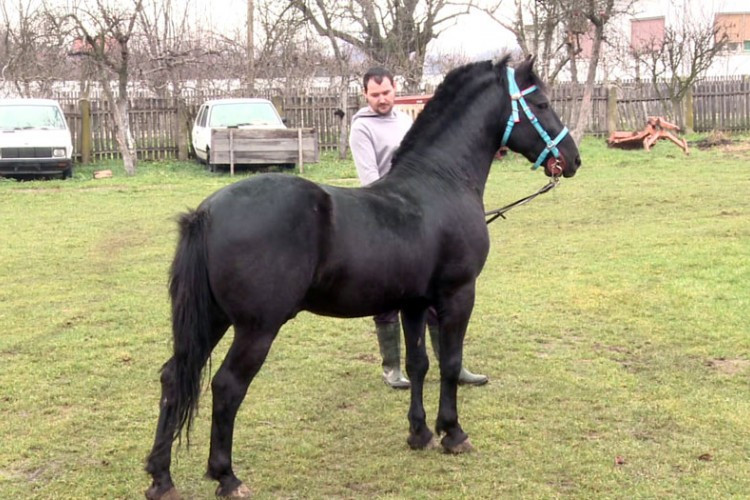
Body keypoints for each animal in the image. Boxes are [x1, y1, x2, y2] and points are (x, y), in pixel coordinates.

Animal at [145, 55, 580, 500]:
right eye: (542, 103)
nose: (572, 158)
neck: (440, 183)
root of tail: (206, 213)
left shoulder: (413, 302)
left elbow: (419, 363)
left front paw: (420, 433)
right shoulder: (458, 294)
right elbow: (450, 361)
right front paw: (453, 433)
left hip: (212, 320)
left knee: (173, 377)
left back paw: (161, 478)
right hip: (256, 328)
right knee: (227, 387)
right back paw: (227, 477)